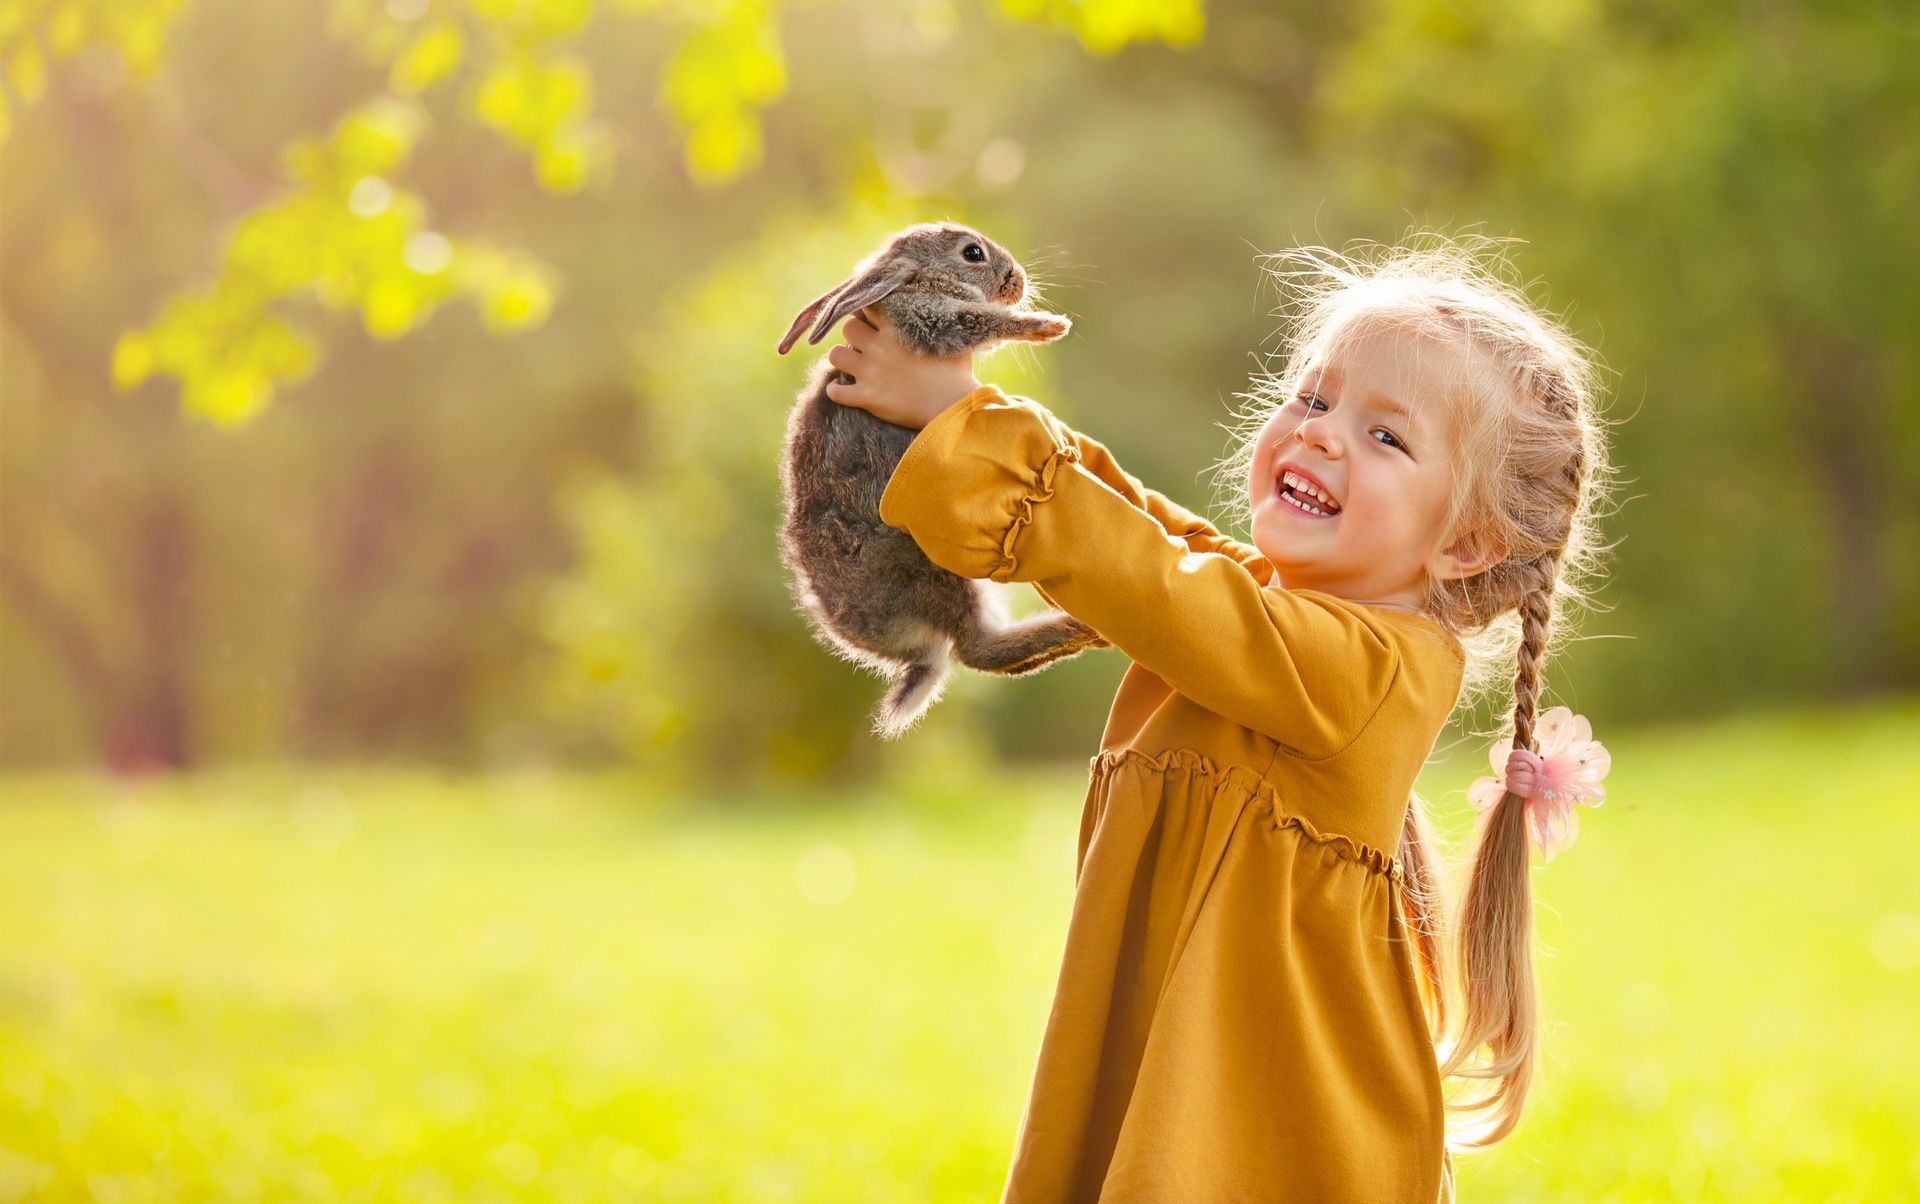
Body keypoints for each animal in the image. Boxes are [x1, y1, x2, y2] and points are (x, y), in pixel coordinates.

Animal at [775, 222, 1110, 739]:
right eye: (972, 253)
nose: (1017, 280)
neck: (916, 281)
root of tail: (914, 656)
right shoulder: (931, 317)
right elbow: (979, 321)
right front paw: (1047, 325)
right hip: (938, 568)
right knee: (975, 649)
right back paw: (1075, 629)